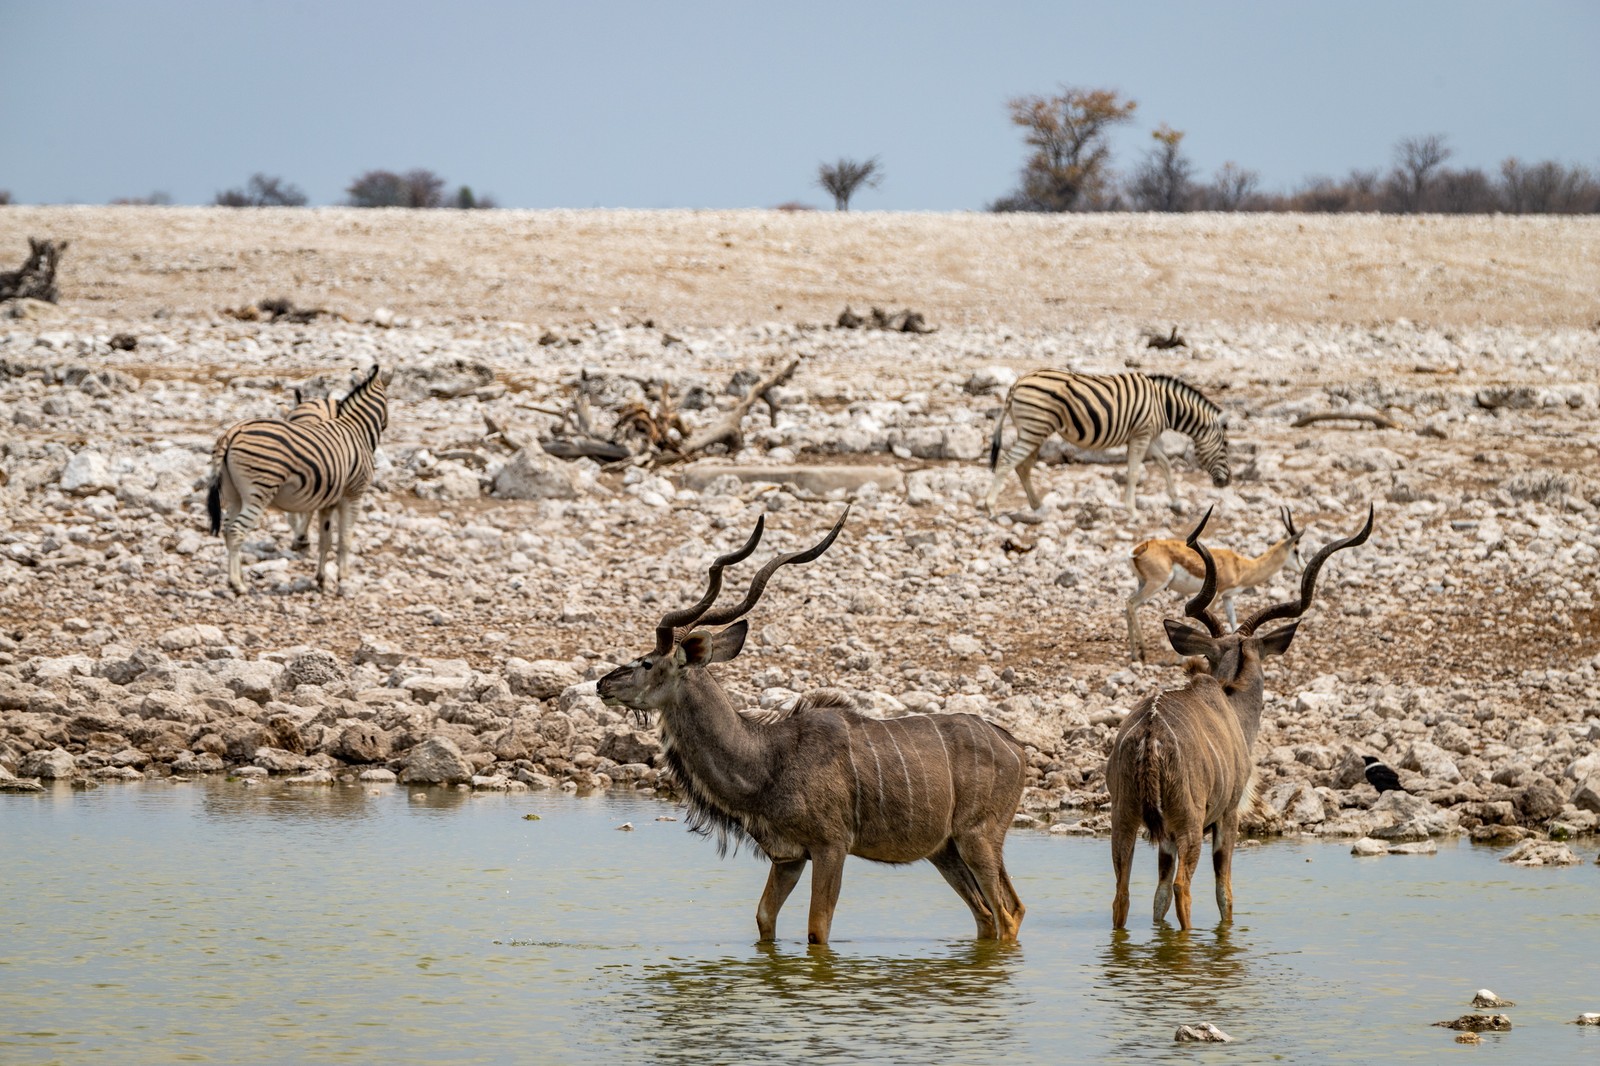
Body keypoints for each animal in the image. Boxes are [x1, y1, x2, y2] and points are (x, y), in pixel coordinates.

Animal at [206, 364, 387, 589]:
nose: (385, 424)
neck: (356, 429)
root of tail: (233, 432)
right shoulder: (354, 495)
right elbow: (345, 538)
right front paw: (343, 577)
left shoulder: (328, 502)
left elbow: (325, 540)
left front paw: (321, 578)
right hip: (259, 491)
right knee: (236, 531)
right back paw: (237, 584)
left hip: (233, 494)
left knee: (227, 529)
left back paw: (237, 578)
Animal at [979, 368, 1228, 512]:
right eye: (1225, 447)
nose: (1226, 483)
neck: (1164, 405)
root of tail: (1017, 383)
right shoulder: (1141, 435)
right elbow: (1134, 471)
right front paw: (1131, 510)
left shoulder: (1147, 437)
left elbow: (1165, 463)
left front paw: (1176, 500)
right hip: (1034, 429)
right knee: (1007, 462)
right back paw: (990, 506)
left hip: (1032, 431)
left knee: (1022, 466)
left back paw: (1037, 505)